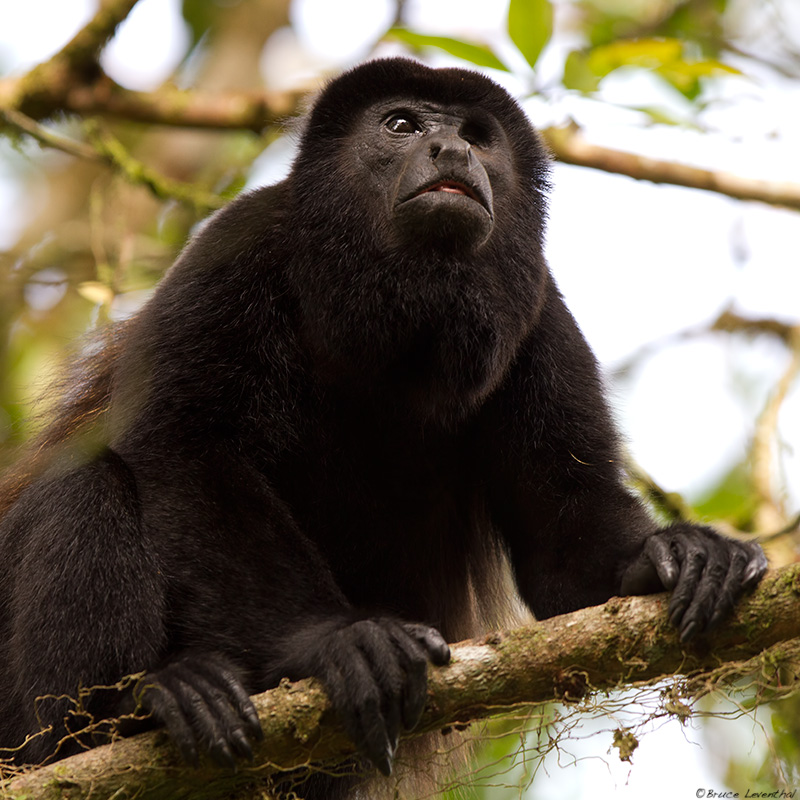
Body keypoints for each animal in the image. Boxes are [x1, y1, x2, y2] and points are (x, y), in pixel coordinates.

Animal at [0, 58, 766, 797]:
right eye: (401, 124)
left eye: (478, 135)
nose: (452, 147)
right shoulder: (238, 243)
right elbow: (188, 447)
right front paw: (336, 640)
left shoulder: (539, 311)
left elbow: (561, 537)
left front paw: (668, 555)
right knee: (86, 487)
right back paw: (127, 717)